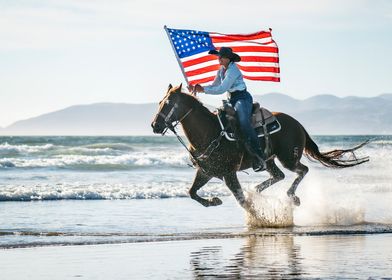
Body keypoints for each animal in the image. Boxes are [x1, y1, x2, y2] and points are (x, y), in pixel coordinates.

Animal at [152, 84, 370, 209]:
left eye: (168, 103)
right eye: (160, 101)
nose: (155, 125)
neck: (210, 132)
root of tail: (298, 124)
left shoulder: (229, 173)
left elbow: (241, 200)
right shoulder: (206, 171)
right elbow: (191, 192)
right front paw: (213, 201)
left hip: (288, 158)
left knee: (302, 170)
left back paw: (291, 196)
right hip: (269, 160)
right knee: (278, 175)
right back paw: (257, 189)